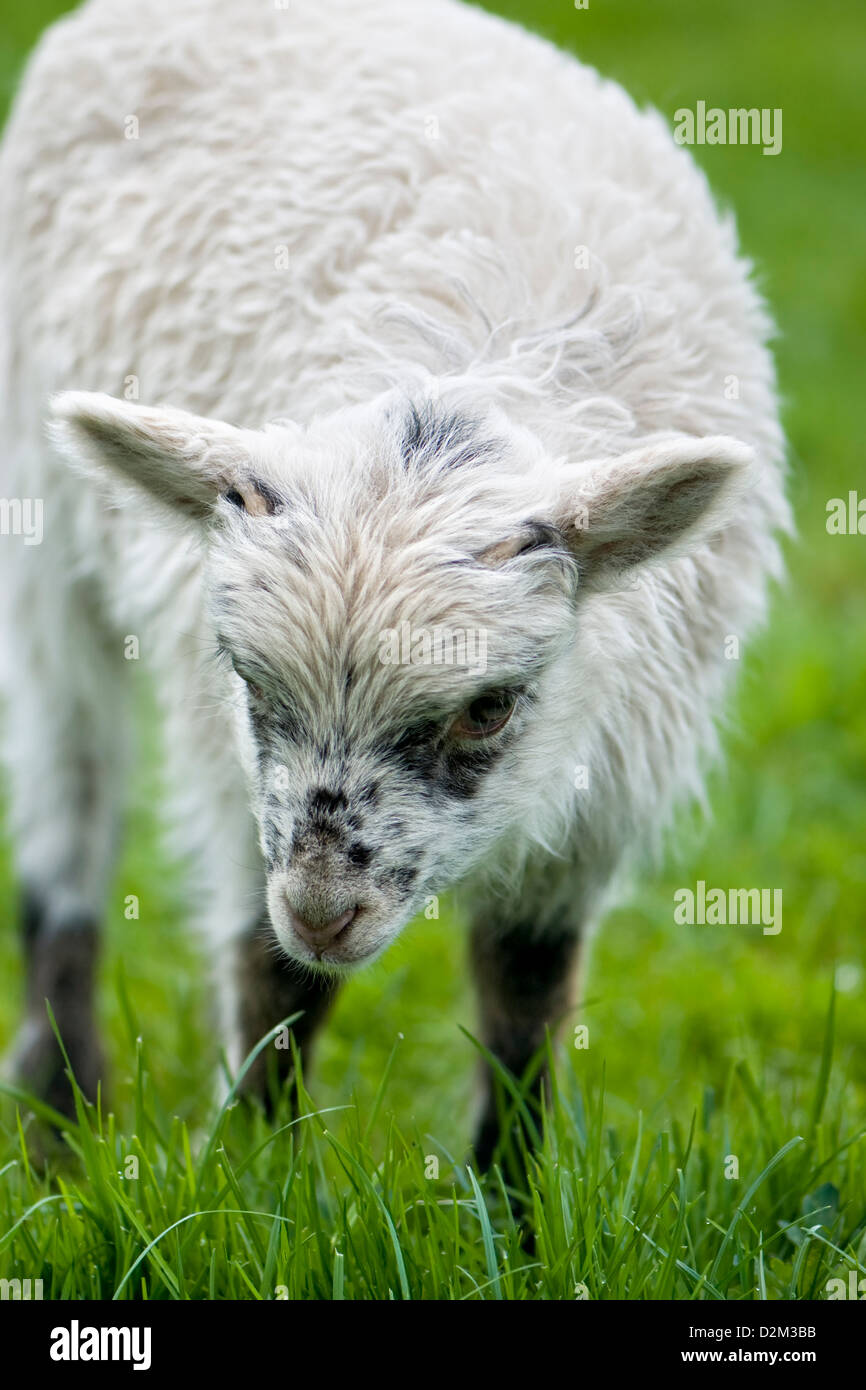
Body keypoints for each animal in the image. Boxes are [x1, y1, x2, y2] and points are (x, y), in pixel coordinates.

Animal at [0, 0, 789, 1156]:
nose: (326, 910)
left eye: (489, 709)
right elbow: (275, 982)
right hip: (40, 533)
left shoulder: (596, 799)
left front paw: (512, 1194)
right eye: (249, 680)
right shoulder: (231, 764)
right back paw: (60, 1113)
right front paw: (254, 1171)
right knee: (69, 801)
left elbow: (524, 1002)